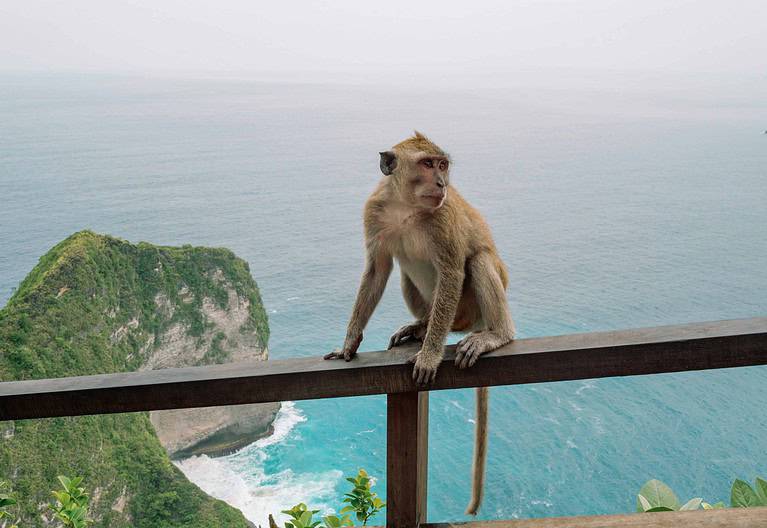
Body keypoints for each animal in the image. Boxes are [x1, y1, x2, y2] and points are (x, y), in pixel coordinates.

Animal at [324, 132, 516, 515]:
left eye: (442, 165)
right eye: (427, 164)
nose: (442, 183)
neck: (405, 206)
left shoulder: (443, 217)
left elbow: (453, 272)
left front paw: (429, 356)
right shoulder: (374, 212)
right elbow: (377, 270)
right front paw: (349, 342)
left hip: (470, 308)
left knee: (478, 261)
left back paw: (491, 335)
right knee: (404, 269)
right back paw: (421, 326)